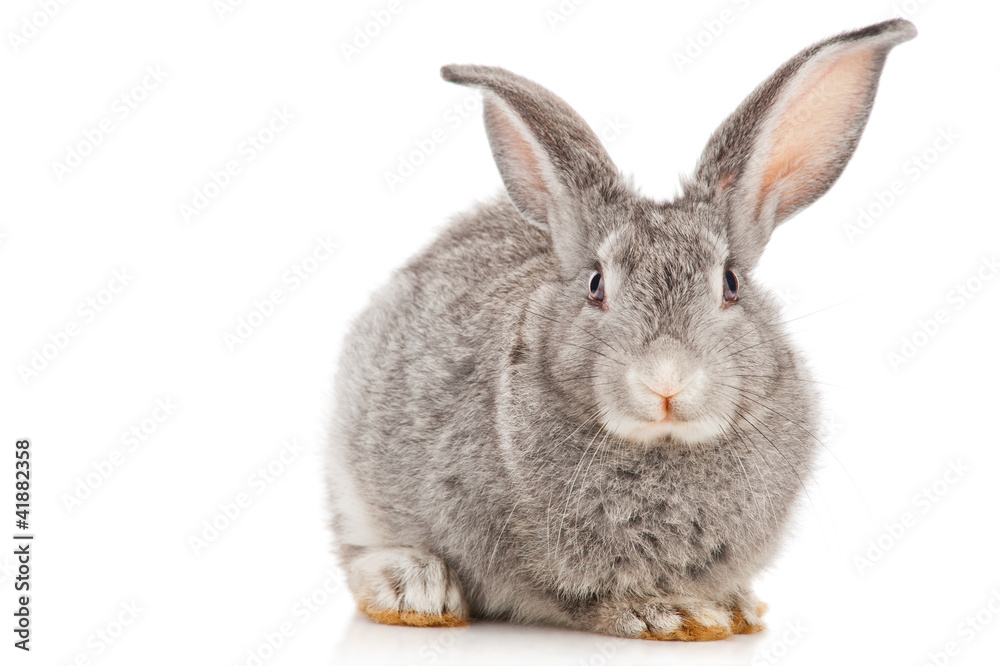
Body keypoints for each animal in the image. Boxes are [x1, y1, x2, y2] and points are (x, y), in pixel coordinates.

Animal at [326, 19, 915, 641]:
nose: (667, 378)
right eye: (595, 285)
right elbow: (580, 596)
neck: (663, 445)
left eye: (730, 283)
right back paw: (412, 587)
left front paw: (733, 608)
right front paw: (674, 614)